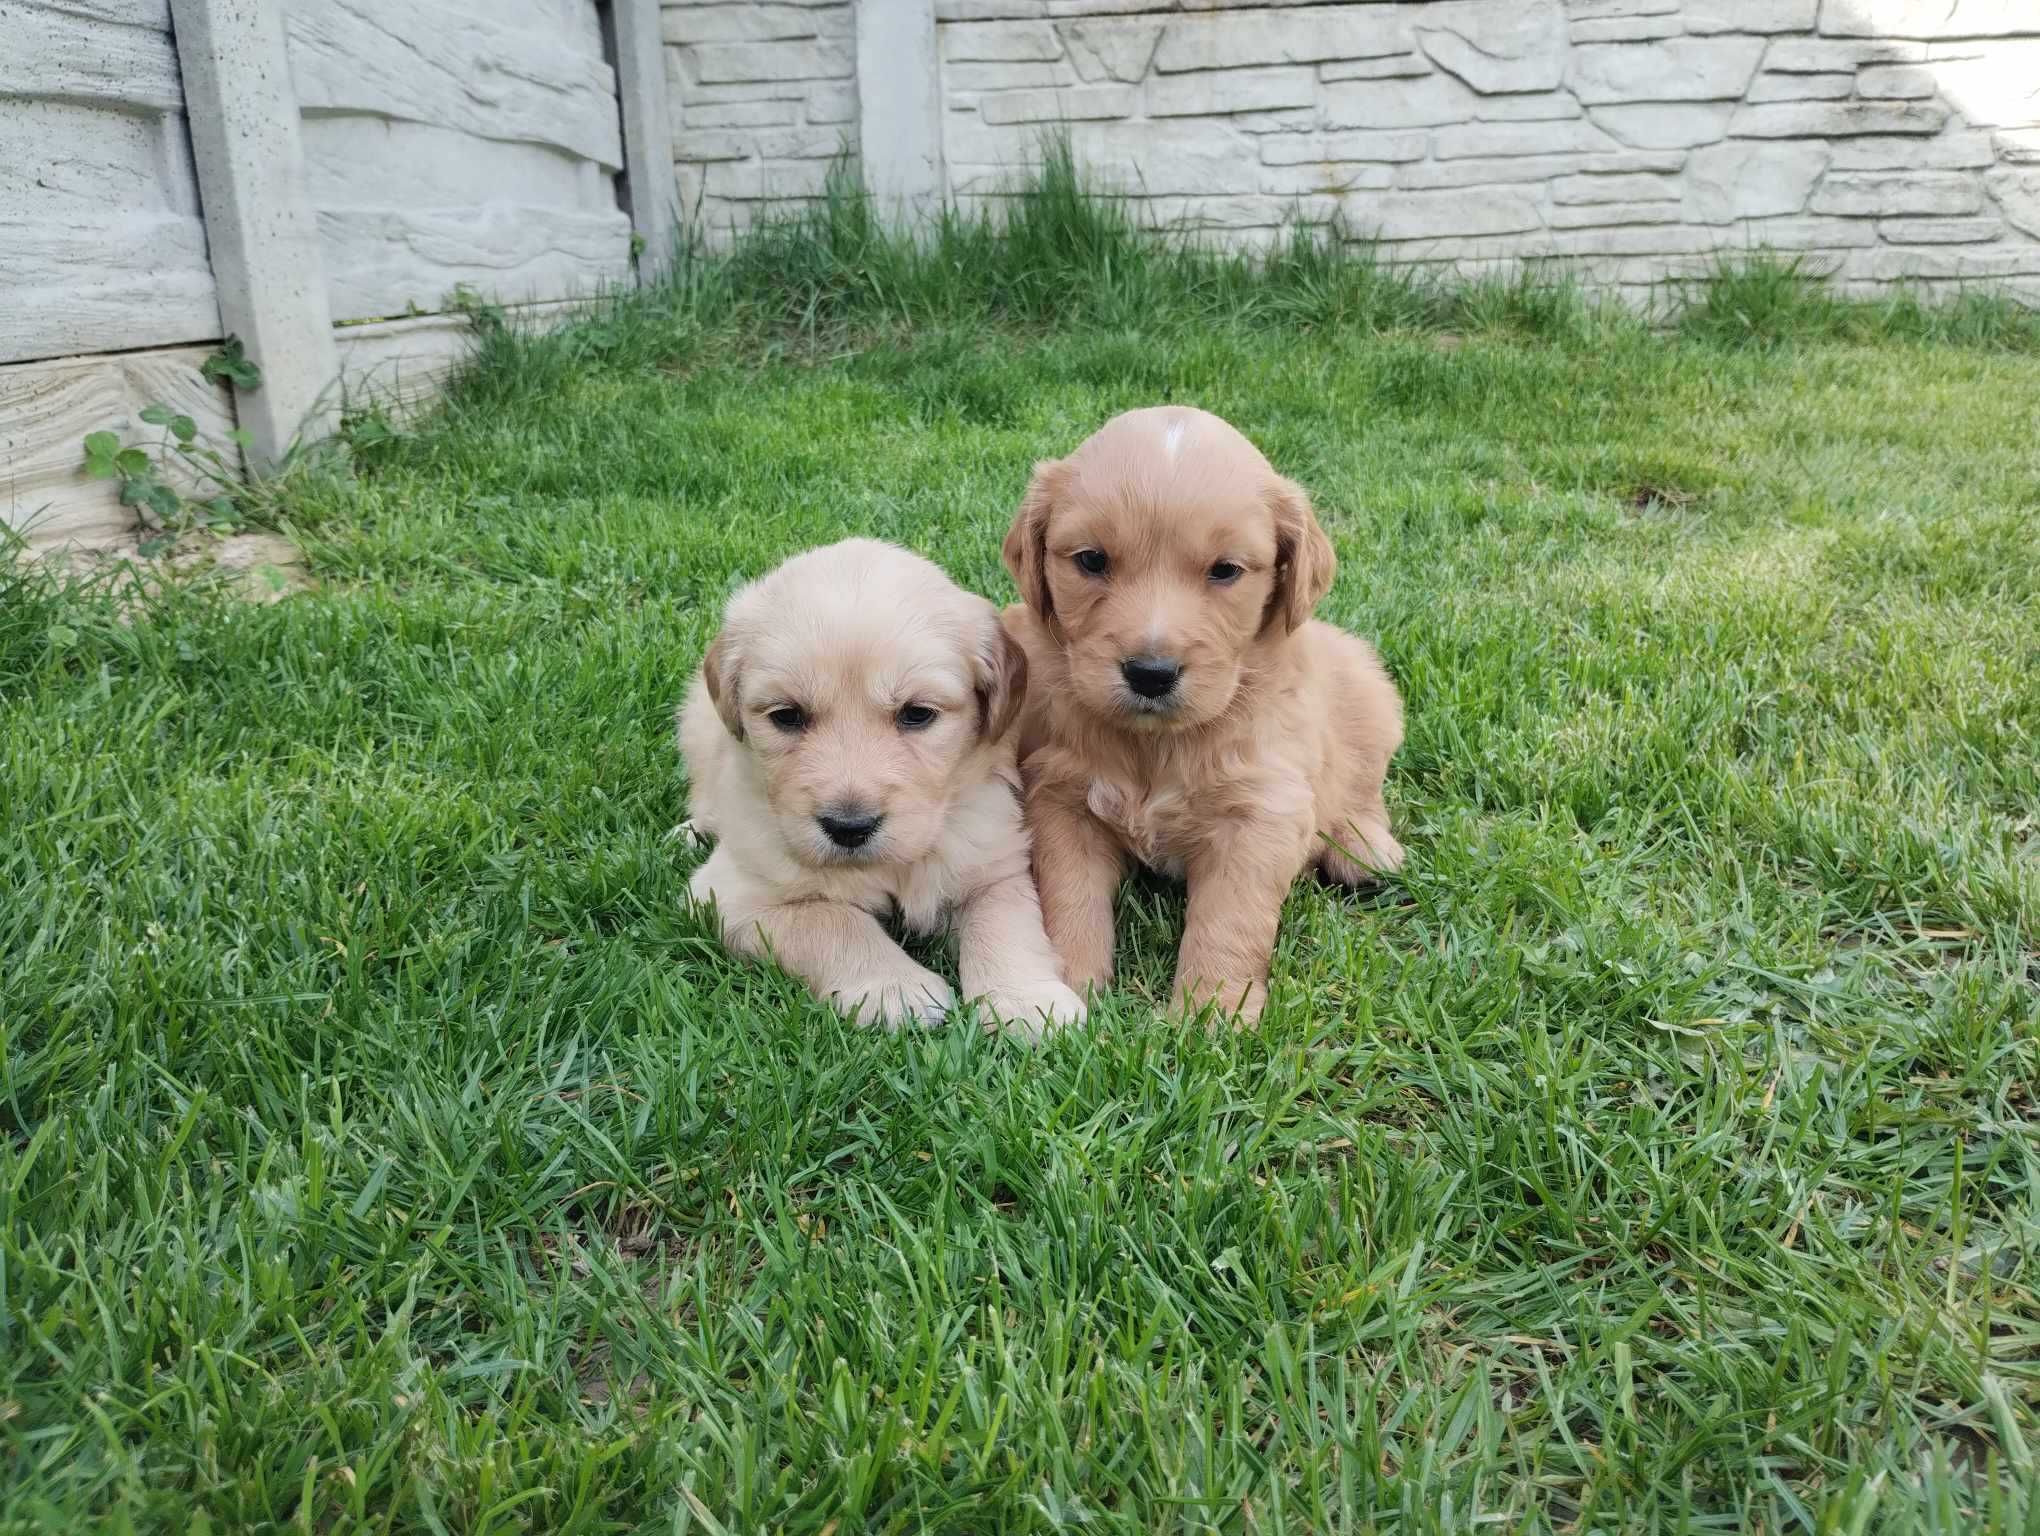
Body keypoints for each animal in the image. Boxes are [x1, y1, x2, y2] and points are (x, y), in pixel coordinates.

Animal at [677, 534, 1085, 1036]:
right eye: (786, 716)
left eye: (917, 713)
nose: (849, 827)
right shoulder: (730, 895)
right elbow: (832, 920)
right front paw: (894, 988)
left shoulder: (994, 863)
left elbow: (1006, 923)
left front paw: (1026, 1001)